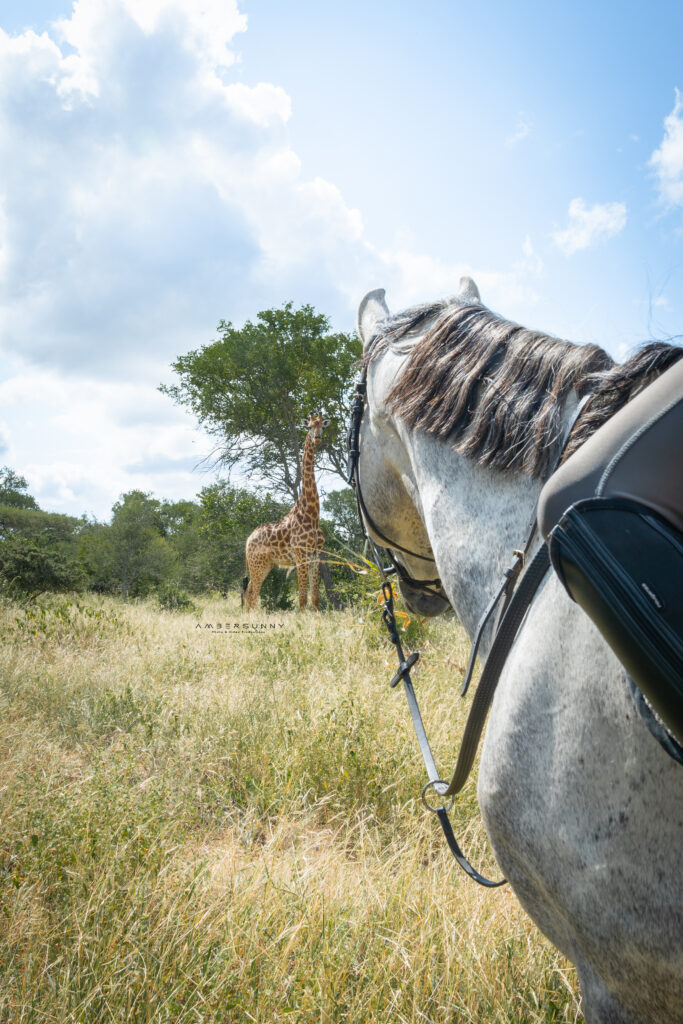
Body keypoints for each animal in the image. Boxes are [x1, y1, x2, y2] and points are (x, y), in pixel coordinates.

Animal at [242, 411, 327, 610]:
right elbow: (302, 598)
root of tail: (248, 541)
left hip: (267, 564)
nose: (317, 438)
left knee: (250, 592)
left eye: (322, 425)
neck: (312, 513)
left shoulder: (315, 555)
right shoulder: (301, 555)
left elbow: (315, 597)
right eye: (309, 426)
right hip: (257, 564)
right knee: (251, 593)